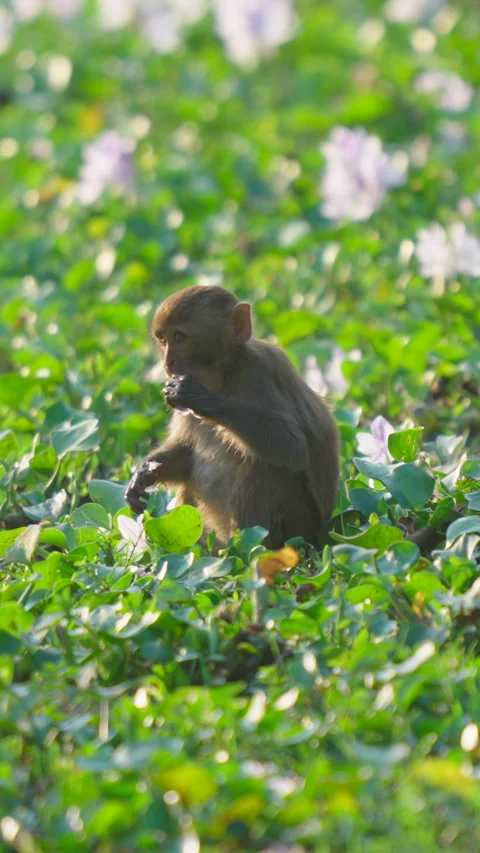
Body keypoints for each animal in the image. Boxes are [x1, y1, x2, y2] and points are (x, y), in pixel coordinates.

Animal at [126, 285, 340, 549]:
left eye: (179, 338)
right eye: (163, 339)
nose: (168, 363)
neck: (224, 376)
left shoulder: (258, 372)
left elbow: (292, 448)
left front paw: (199, 398)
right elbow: (185, 453)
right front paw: (143, 473)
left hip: (299, 527)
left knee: (262, 466)